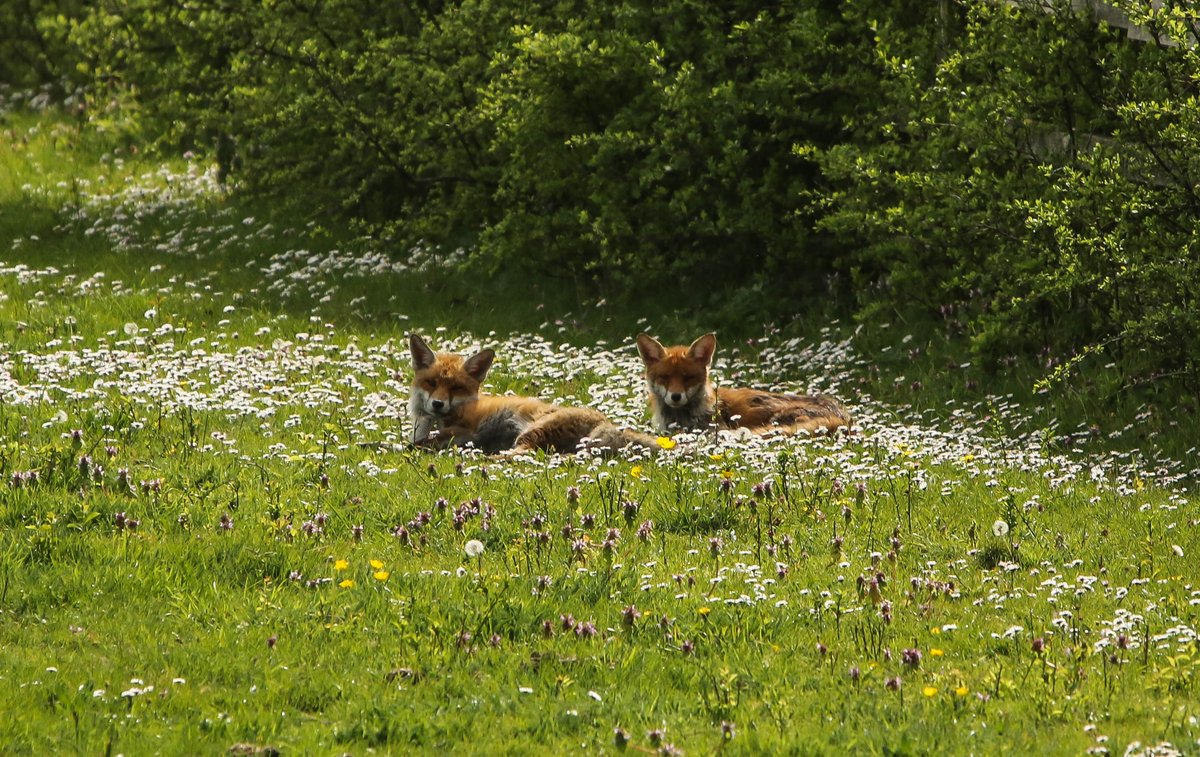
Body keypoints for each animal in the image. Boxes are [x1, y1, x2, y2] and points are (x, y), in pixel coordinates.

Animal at [412, 333, 657, 453]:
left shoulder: (466, 429)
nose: (437, 404)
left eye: (456, 387)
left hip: (533, 431)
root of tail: (605, 421)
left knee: (524, 455)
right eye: (431, 383)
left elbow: (423, 442)